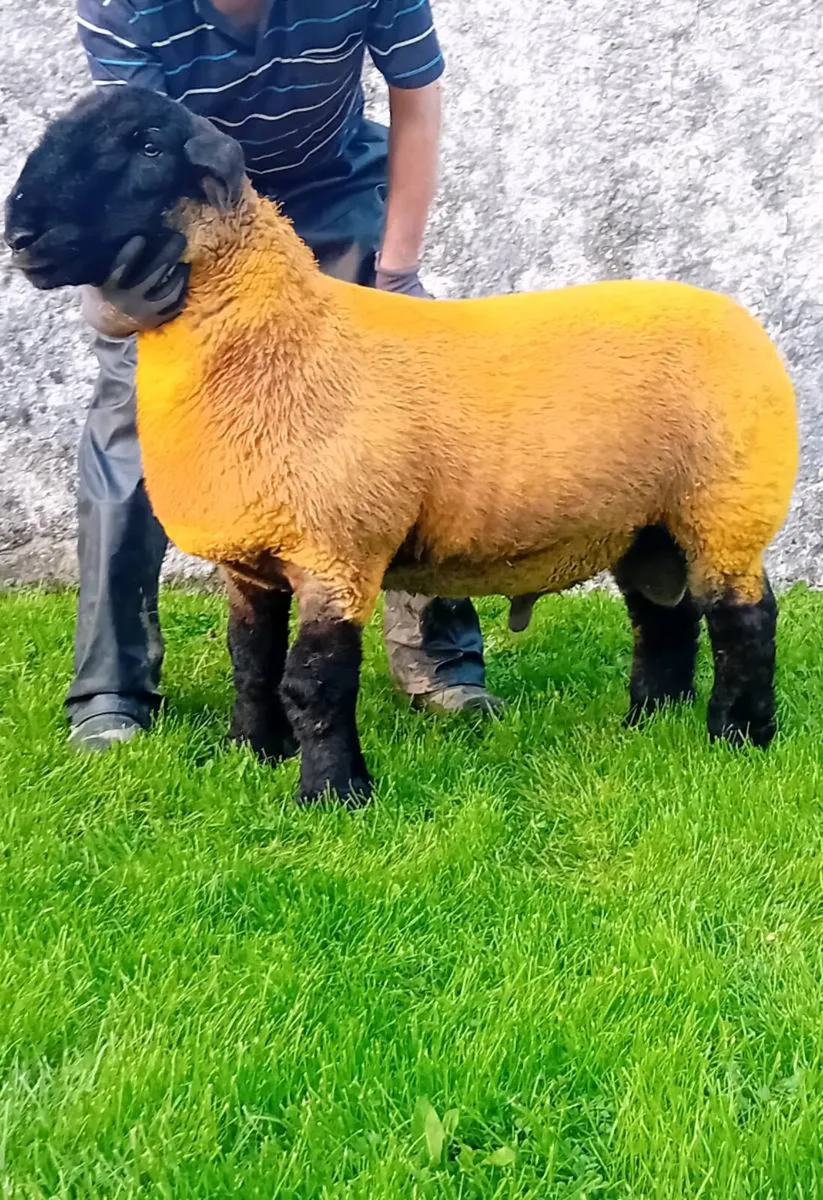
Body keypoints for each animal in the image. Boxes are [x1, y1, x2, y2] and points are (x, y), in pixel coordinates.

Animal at [4, 86, 799, 806]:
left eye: (146, 147)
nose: (21, 237)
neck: (282, 340)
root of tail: (741, 319)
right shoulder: (253, 559)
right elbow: (250, 660)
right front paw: (253, 753)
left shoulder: (337, 550)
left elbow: (313, 681)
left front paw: (333, 794)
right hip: (648, 523)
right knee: (664, 618)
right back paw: (648, 725)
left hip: (726, 506)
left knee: (744, 618)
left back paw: (738, 737)